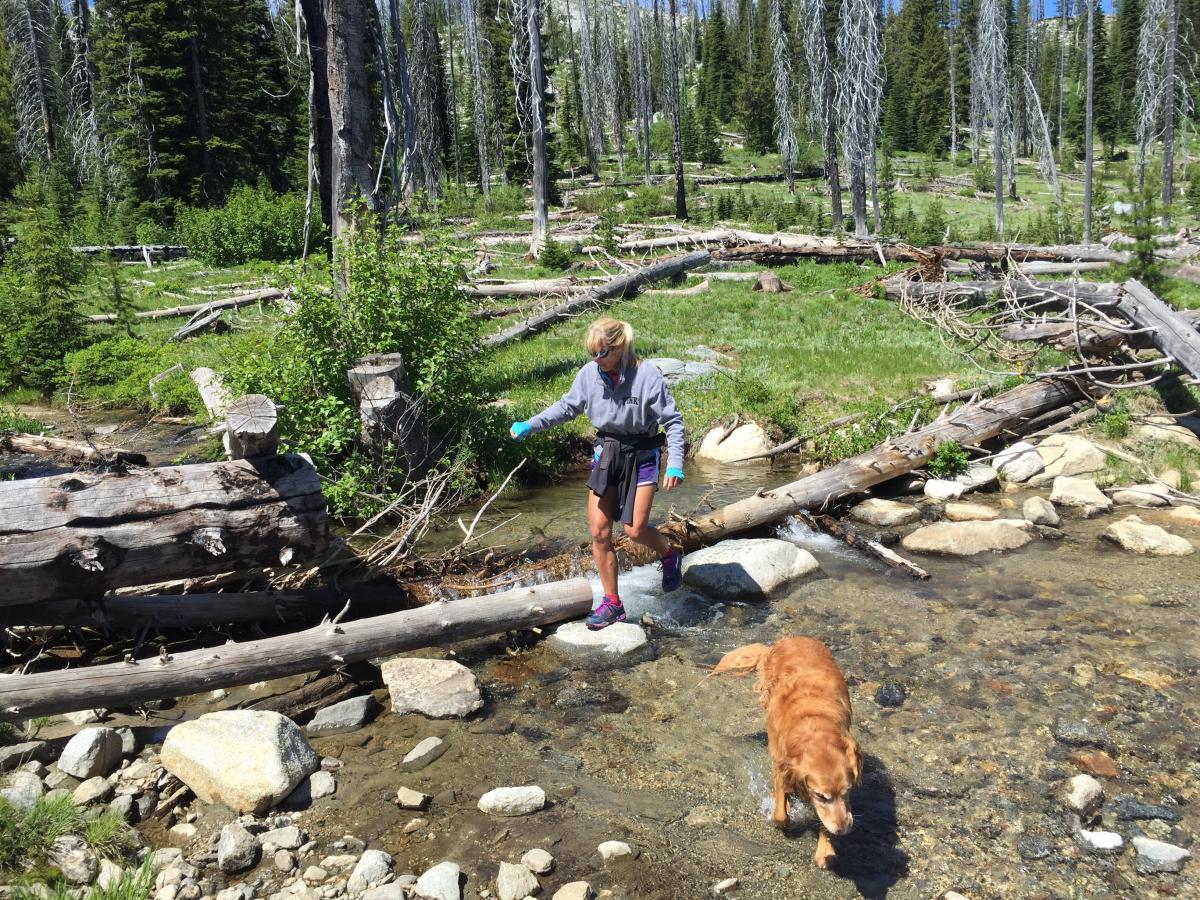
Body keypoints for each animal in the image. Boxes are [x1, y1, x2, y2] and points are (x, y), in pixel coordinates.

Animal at [705, 638, 859, 868]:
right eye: (821, 796)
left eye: (848, 791)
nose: (843, 829)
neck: (814, 723)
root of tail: (791, 638)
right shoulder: (782, 764)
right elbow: (780, 814)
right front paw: (783, 810)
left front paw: (826, 849)